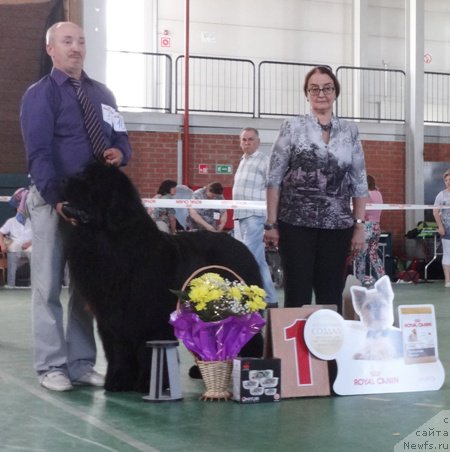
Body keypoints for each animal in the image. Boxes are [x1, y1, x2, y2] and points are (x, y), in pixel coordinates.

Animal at [60, 163, 264, 392]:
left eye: (91, 182)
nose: (62, 181)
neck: (113, 240)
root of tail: (242, 247)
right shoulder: (111, 315)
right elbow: (119, 349)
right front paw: (117, 381)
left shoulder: (150, 315)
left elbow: (147, 350)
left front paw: (147, 383)